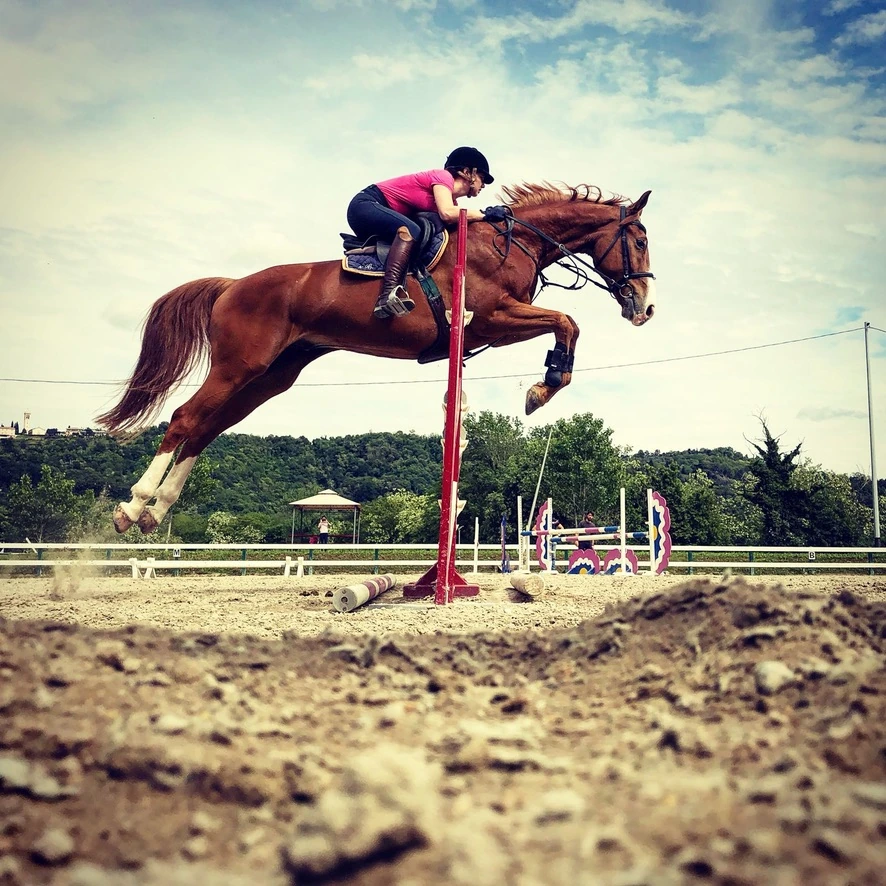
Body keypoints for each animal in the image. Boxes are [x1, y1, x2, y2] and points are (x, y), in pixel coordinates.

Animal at [98, 182, 655, 534]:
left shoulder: (493, 326)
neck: (511, 243)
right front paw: (544, 387)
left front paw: (545, 384)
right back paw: (132, 507)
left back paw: (155, 512)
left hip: (272, 376)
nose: (645, 308)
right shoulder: (494, 317)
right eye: (641, 239)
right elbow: (567, 321)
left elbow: (565, 323)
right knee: (184, 418)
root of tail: (233, 284)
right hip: (239, 366)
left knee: (205, 428)